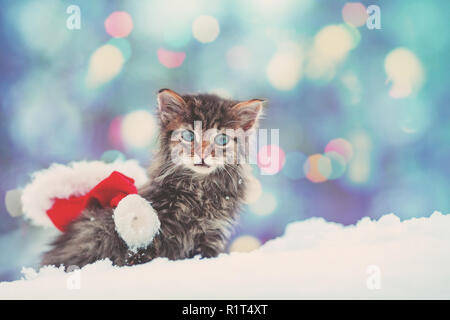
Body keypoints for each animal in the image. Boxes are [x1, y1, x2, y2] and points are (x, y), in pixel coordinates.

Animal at [41, 89, 264, 268]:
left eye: (222, 139)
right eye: (189, 136)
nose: (202, 154)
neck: (199, 192)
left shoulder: (210, 236)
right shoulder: (146, 240)